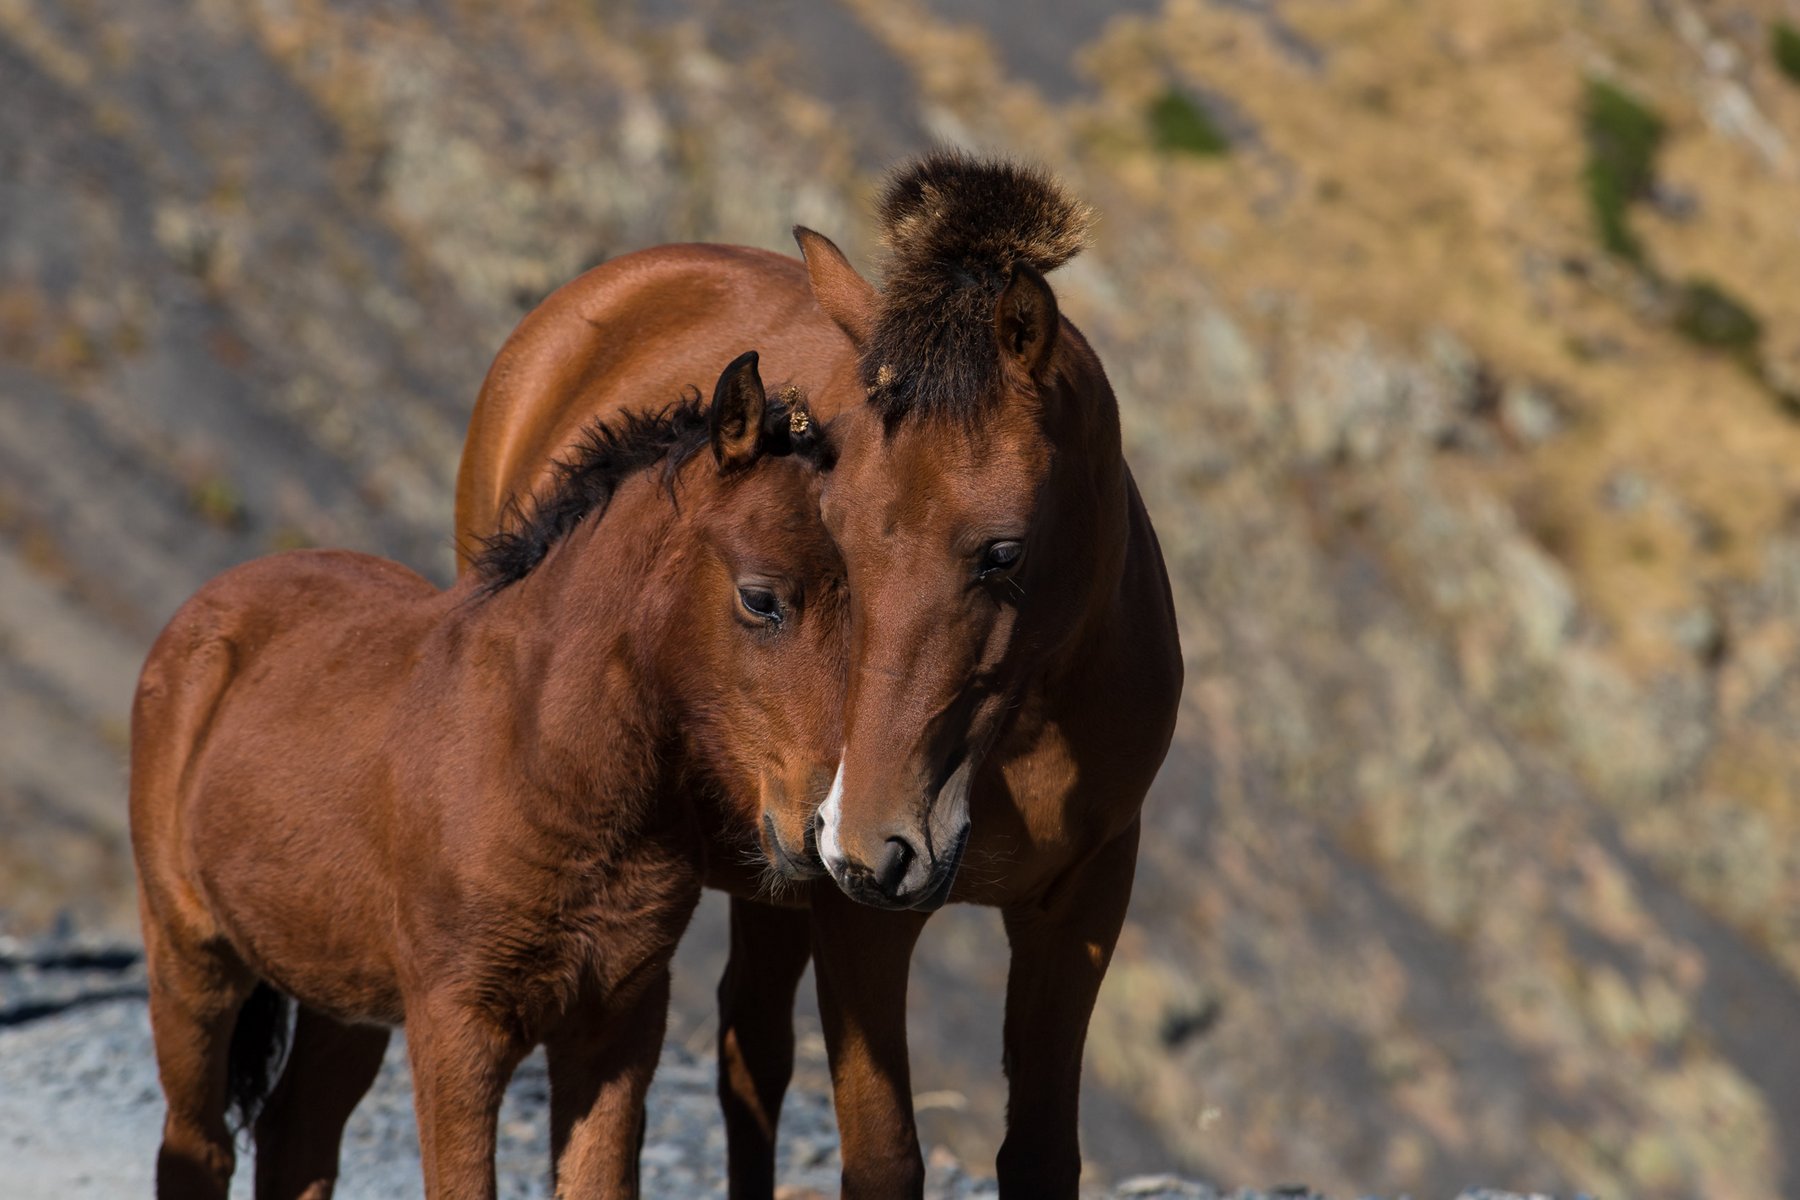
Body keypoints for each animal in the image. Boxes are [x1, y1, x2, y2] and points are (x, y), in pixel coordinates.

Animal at [130, 356, 846, 1200]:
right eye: (760, 599)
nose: (821, 830)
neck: (543, 760)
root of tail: (211, 604)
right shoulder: (456, 1022)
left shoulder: (621, 1019)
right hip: (191, 954)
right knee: (198, 1143)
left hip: (342, 993)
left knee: (293, 1136)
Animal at [457, 152, 1180, 1200]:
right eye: (832, 527)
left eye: (1002, 551)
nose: (872, 840)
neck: (1025, 739)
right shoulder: (860, 920)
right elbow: (882, 1157)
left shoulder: (1081, 903)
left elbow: (1042, 1153)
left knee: (749, 1053)